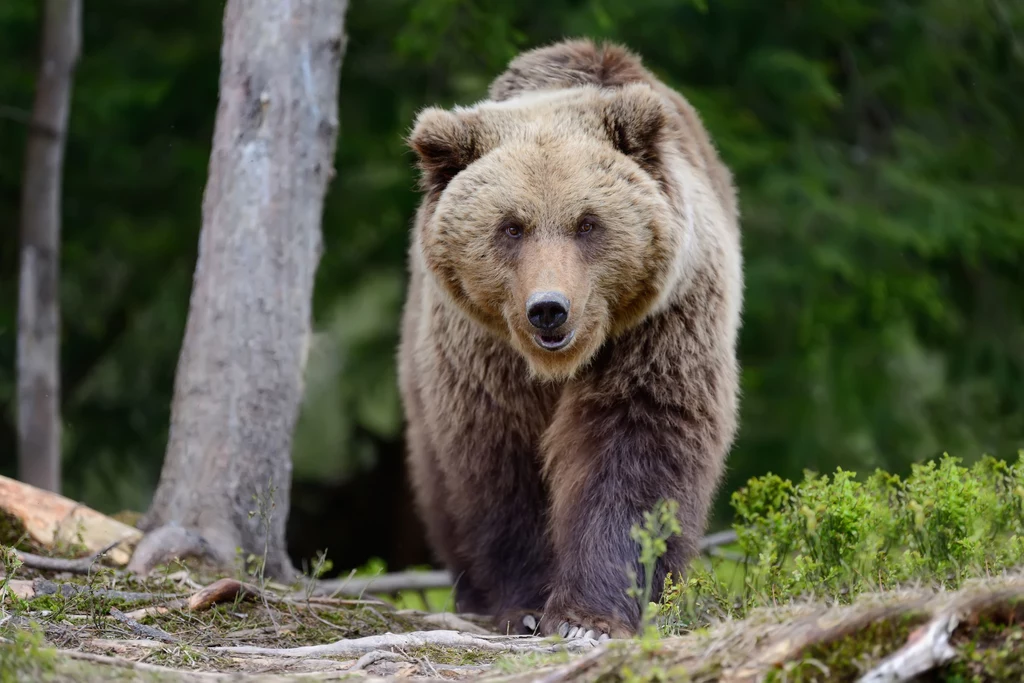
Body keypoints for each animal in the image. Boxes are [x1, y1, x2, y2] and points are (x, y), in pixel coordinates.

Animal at [395, 38, 741, 643]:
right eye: (511, 226)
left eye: (588, 223)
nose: (549, 310)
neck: (556, 365)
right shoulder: (481, 352)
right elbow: (501, 467)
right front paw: (528, 605)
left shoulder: (660, 326)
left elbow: (635, 455)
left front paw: (590, 618)